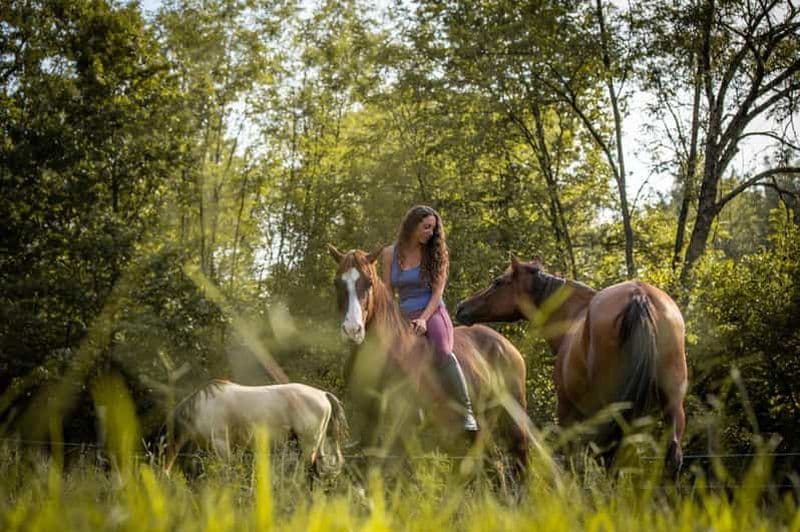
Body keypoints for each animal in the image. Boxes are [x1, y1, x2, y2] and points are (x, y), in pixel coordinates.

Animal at [327, 245, 529, 476]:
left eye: (369, 282)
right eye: (337, 282)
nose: (352, 330)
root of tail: (508, 347)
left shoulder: (402, 428)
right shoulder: (369, 423)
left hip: (513, 422)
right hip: (481, 426)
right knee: (494, 464)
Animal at [455, 256, 688, 477]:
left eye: (498, 282)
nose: (461, 307)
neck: (574, 316)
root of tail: (639, 295)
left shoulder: (567, 412)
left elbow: (572, 461)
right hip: (671, 406)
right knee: (670, 456)